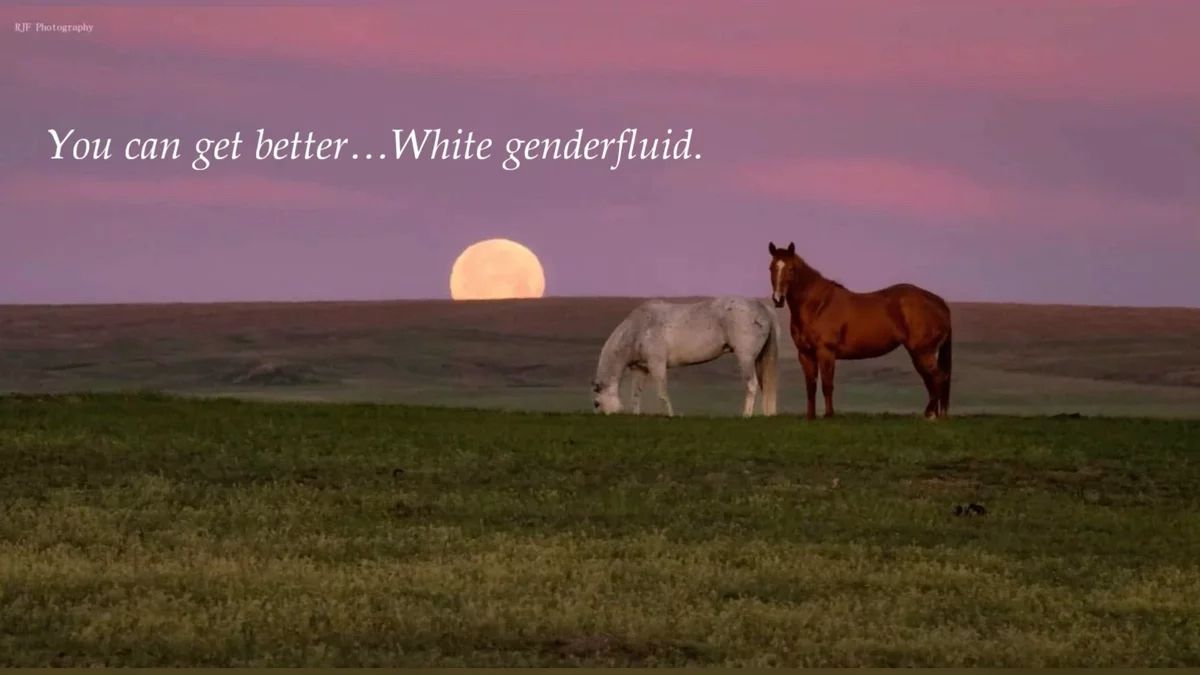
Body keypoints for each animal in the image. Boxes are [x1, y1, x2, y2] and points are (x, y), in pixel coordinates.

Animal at [591, 297, 780, 417]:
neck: (638, 329)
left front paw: (670, 415)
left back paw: (746, 415)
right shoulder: (640, 369)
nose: (601, 416)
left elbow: (662, 392)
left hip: (746, 358)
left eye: (596, 403)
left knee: (751, 385)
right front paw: (636, 415)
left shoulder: (657, 364)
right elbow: (636, 395)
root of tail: (762, 308)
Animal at [767, 241, 953, 419]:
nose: (778, 299)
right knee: (931, 380)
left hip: (923, 352)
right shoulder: (805, 354)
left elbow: (827, 384)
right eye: (771, 268)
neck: (818, 305)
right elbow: (810, 386)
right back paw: (933, 415)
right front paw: (810, 417)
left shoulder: (826, 352)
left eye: (791, 269)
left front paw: (829, 415)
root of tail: (938, 302)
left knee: (938, 377)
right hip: (920, 354)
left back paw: (932, 414)